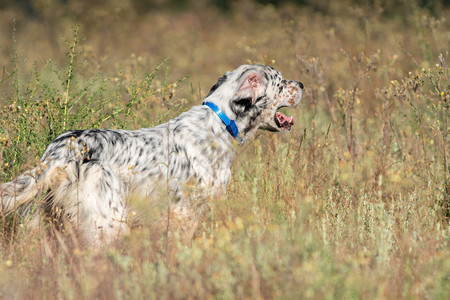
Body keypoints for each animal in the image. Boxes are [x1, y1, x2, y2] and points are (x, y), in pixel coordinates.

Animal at [0, 64, 304, 245]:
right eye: (281, 82)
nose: (301, 84)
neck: (218, 124)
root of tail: (67, 147)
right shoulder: (186, 213)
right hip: (107, 223)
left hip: (39, 222)